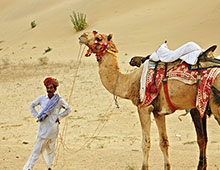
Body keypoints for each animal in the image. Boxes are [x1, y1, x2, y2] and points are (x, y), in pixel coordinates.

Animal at [79, 31, 220, 169]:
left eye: (98, 38)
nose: (82, 36)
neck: (130, 82)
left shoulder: (143, 107)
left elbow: (146, 144)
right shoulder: (158, 111)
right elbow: (164, 142)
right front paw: (167, 166)